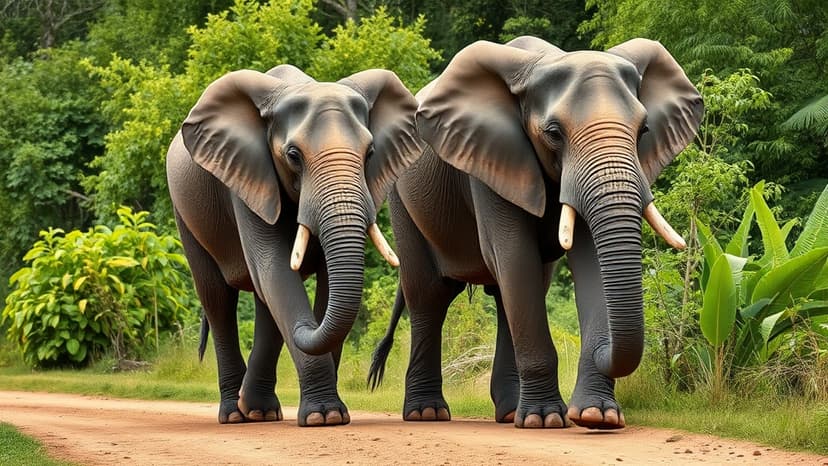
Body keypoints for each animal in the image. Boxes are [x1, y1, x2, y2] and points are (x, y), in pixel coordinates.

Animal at [166, 64, 421, 426]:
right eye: (293, 155)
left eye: (370, 153)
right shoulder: (248, 178)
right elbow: (274, 269)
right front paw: (324, 417)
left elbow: (317, 284)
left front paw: (330, 414)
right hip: (185, 213)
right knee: (218, 299)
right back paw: (235, 414)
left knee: (264, 302)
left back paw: (257, 410)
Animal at [368, 36, 702, 429]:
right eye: (554, 134)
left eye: (643, 131)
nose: (602, 349)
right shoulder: (490, 161)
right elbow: (514, 255)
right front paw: (546, 419)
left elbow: (583, 263)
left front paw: (597, 416)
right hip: (401, 199)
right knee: (429, 295)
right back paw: (427, 413)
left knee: (504, 296)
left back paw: (510, 412)